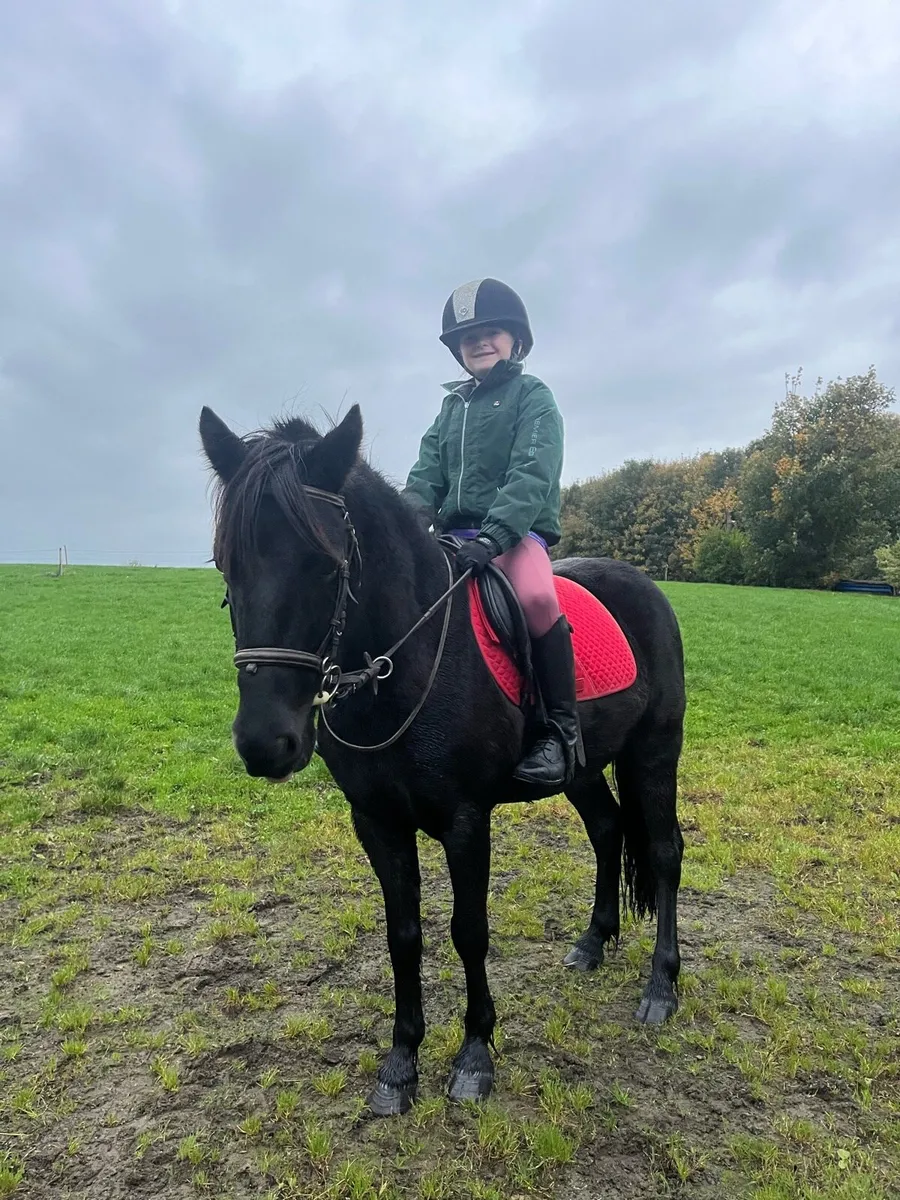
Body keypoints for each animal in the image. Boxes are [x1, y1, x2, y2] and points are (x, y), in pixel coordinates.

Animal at [199, 403, 686, 1117]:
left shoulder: (465, 819)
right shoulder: (376, 820)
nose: (266, 742)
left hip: (655, 751)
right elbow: (403, 934)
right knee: (606, 829)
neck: (409, 655)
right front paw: (401, 1064)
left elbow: (468, 930)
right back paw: (593, 943)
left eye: (325, 564)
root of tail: (642, 585)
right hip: (583, 766)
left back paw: (661, 987)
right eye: (225, 563)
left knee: (663, 850)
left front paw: (475, 1056)